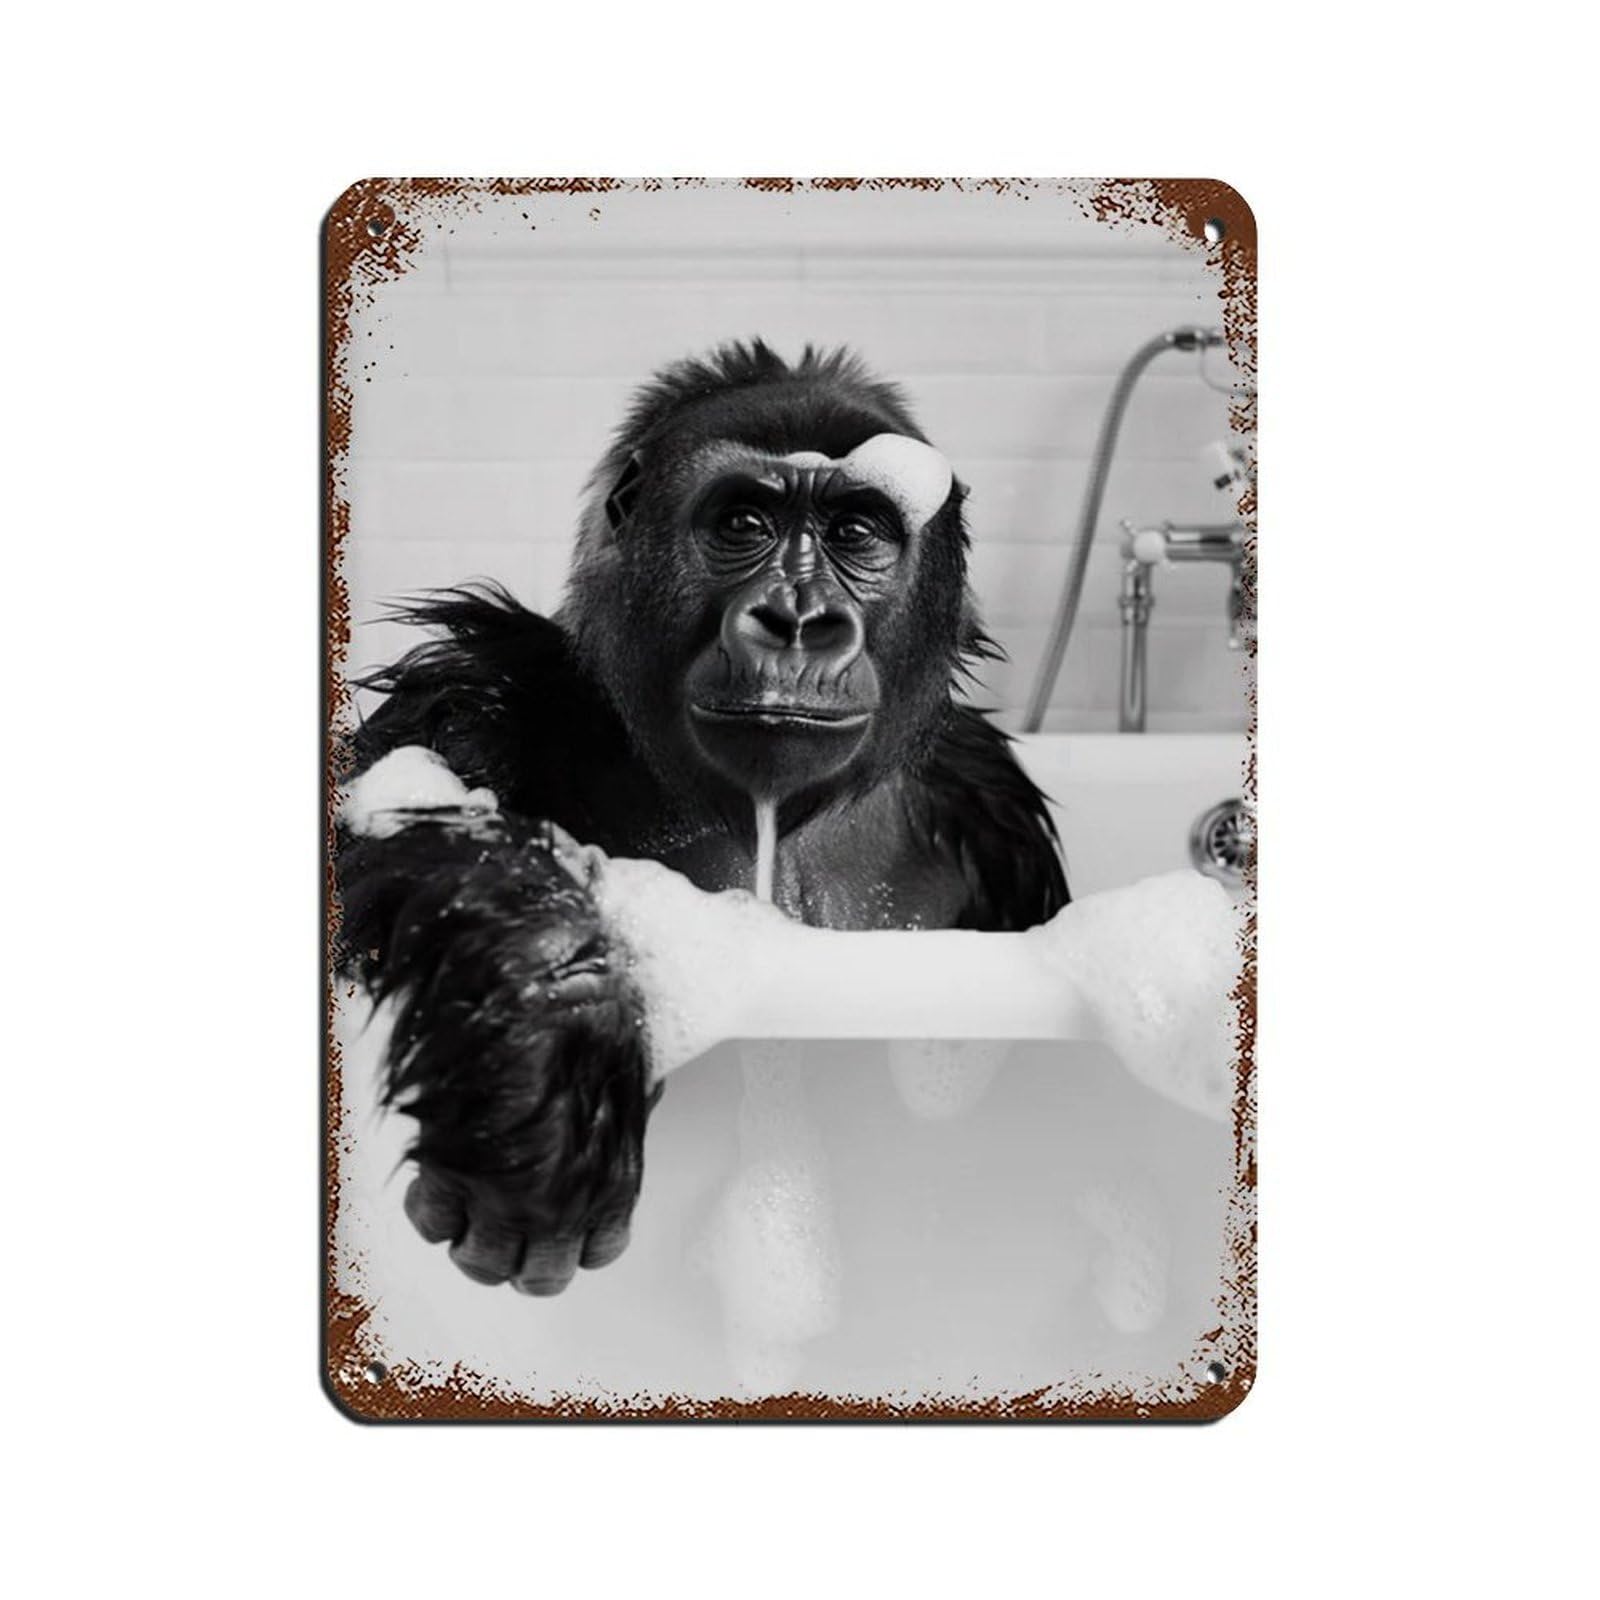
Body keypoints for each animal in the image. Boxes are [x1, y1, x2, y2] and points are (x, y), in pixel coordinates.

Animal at [334, 340, 1067, 1296]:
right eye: (745, 522)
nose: (798, 620)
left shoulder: (994, 811)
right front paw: (550, 1043)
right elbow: (408, 833)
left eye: (857, 533)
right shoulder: (475, 688)